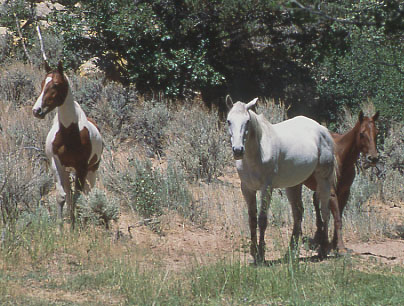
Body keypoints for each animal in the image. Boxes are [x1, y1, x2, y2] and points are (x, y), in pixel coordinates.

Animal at [32, 61, 103, 227]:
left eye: (56, 84)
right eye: (43, 83)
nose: (37, 111)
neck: (70, 133)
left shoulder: (82, 167)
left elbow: (78, 197)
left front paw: (75, 225)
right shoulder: (56, 164)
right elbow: (62, 196)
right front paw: (61, 228)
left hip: (91, 171)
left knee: (86, 194)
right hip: (67, 171)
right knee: (70, 195)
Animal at [226, 97, 336, 264]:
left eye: (247, 121)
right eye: (228, 121)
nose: (238, 150)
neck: (257, 153)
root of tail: (322, 129)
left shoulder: (267, 188)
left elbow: (262, 219)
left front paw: (261, 254)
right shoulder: (247, 189)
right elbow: (252, 219)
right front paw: (254, 252)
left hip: (323, 180)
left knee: (325, 211)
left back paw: (323, 250)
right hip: (294, 185)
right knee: (298, 213)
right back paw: (290, 252)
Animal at [304, 110, 380, 253]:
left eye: (376, 133)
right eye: (362, 133)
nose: (373, 158)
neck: (341, 156)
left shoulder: (345, 193)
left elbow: (338, 218)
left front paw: (335, 244)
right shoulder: (332, 192)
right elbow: (337, 219)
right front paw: (340, 247)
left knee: (316, 203)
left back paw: (319, 237)